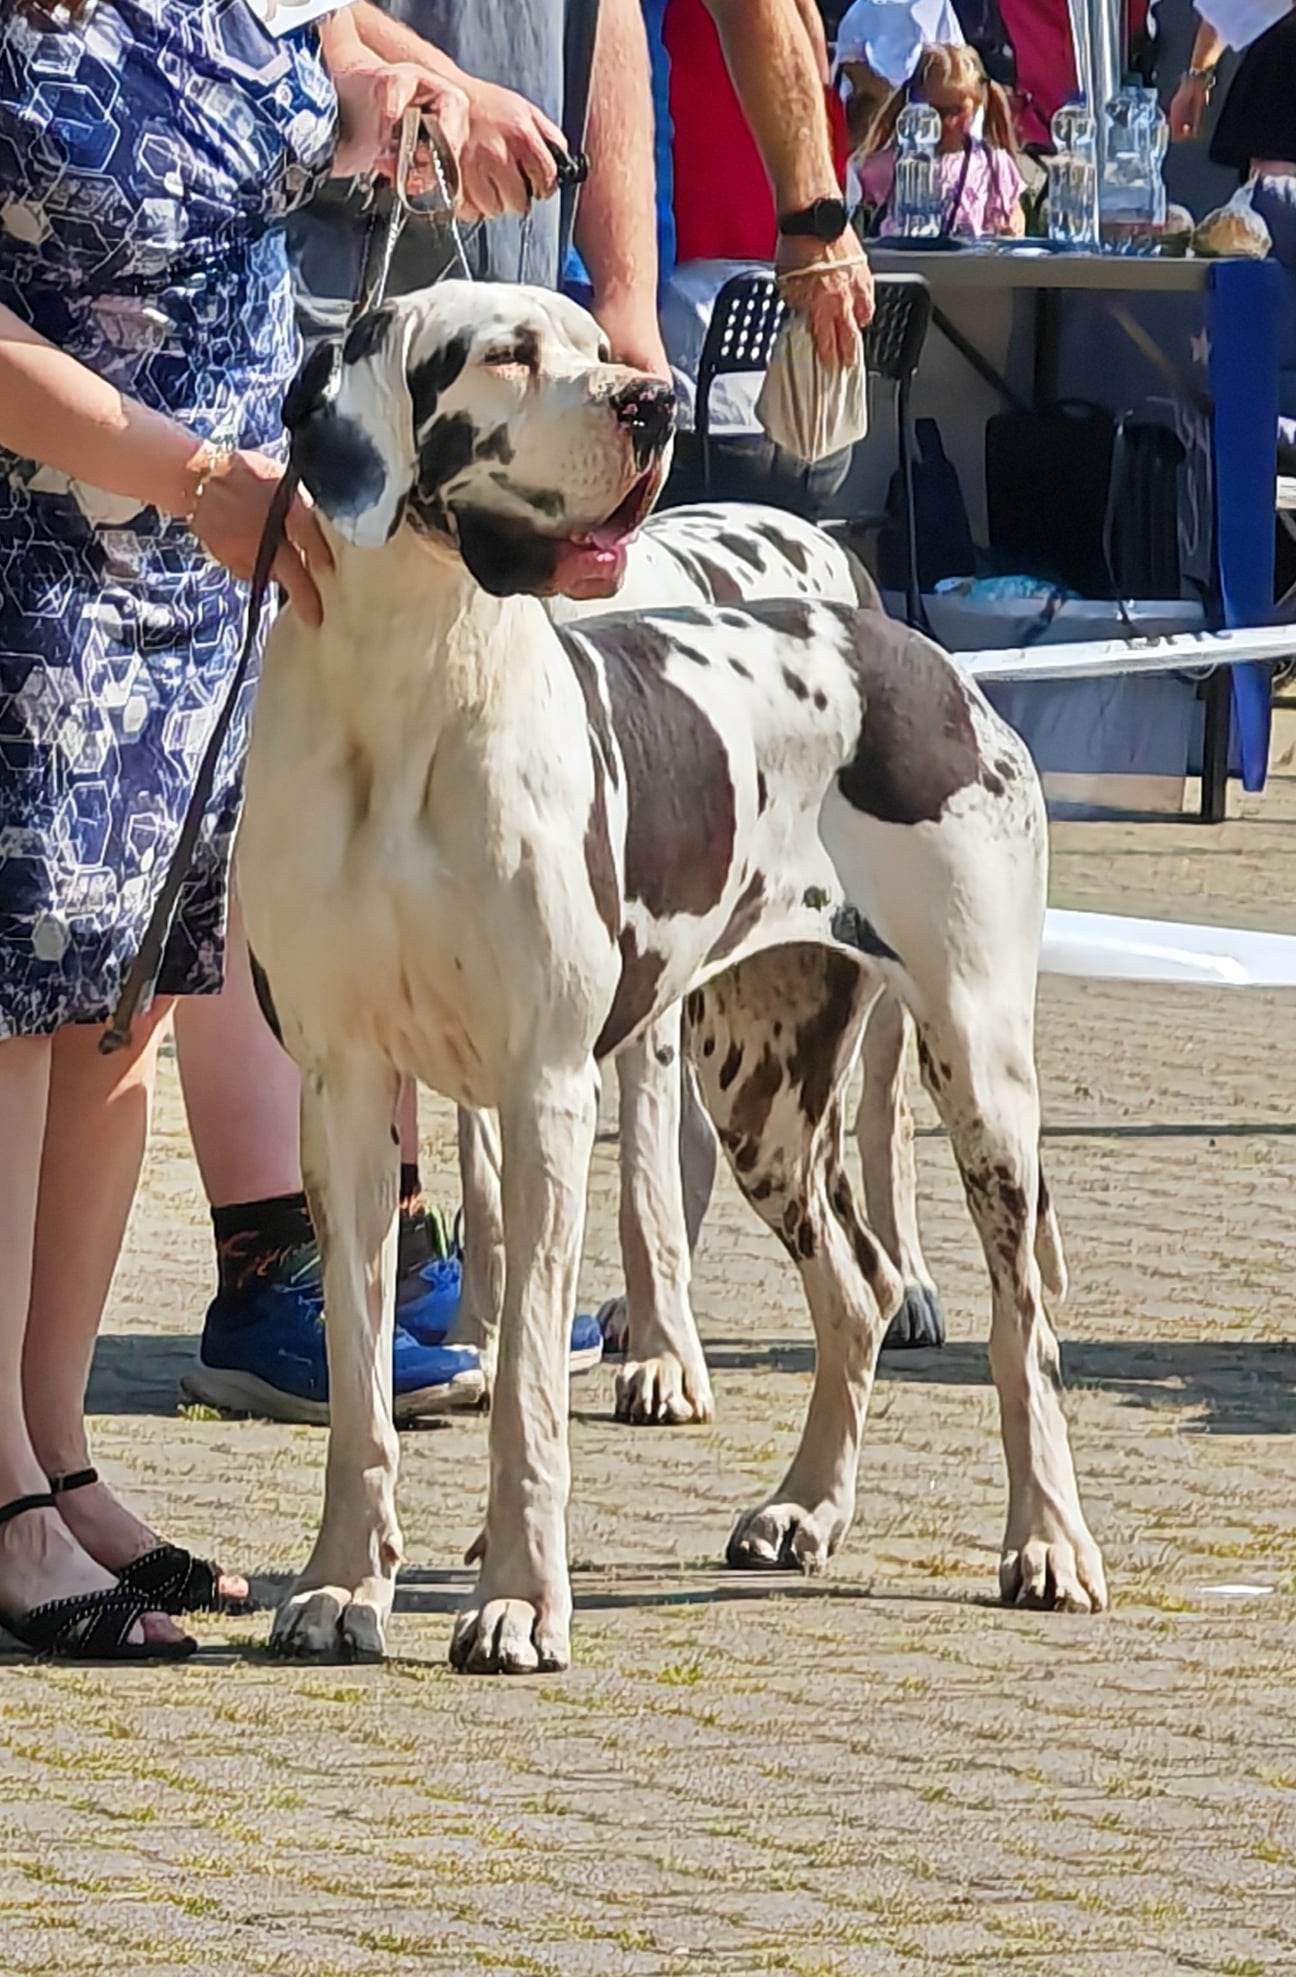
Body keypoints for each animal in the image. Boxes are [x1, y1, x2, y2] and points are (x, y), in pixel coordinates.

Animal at [235, 282, 1106, 1668]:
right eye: (505, 354)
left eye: (598, 344)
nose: (647, 400)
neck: (412, 680)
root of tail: (908, 646)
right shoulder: (346, 1094)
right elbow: (357, 1378)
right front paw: (337, 1585)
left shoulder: (546, 1092)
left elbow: (527, 1383)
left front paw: (518, 1601)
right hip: (761, 1097)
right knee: (858, 1292)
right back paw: (806, 1509)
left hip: (977, 1073)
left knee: (1022, 1327)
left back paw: (1049, 1543)